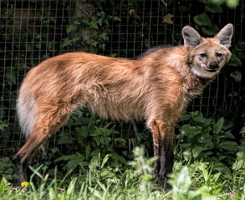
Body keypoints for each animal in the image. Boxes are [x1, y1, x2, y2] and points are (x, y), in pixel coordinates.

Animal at [13, 23, 234, 188]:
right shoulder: (160, 120)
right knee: (19, 156)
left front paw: (156, 185)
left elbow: (161, 157)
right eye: (202, 55)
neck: (181, 69)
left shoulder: (164, 120)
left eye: (218, 55)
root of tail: (35, 68)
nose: (213, 66)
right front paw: (166, 187)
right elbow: (166, 158)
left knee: (26, 156)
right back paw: (27, 189)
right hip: (52, 120)